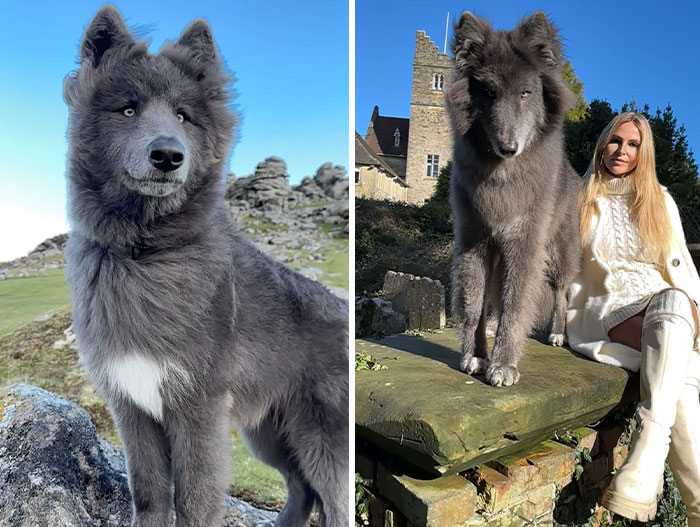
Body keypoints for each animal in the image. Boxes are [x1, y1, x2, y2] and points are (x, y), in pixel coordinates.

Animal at [63, 6, 348, 527]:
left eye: (183, 115)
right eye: (128, 109)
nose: (168, 156)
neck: (145, 254)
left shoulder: (198, 411)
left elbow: (194, 501)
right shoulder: (133, 410)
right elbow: (150, 497)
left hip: (318, 440)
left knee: (332, 500)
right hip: (270, 434)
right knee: (301, 490)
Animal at [446, 11, 582, 387]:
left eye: (525, 93)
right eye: (490, 94)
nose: (508, 147)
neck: (501, 175)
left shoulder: (524, 244)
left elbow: (516, 304)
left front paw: (503, 364)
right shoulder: (475, 242)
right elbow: (473, 303)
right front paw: (477, 355)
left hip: (559, 253)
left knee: (561, 294)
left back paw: (557, 333)